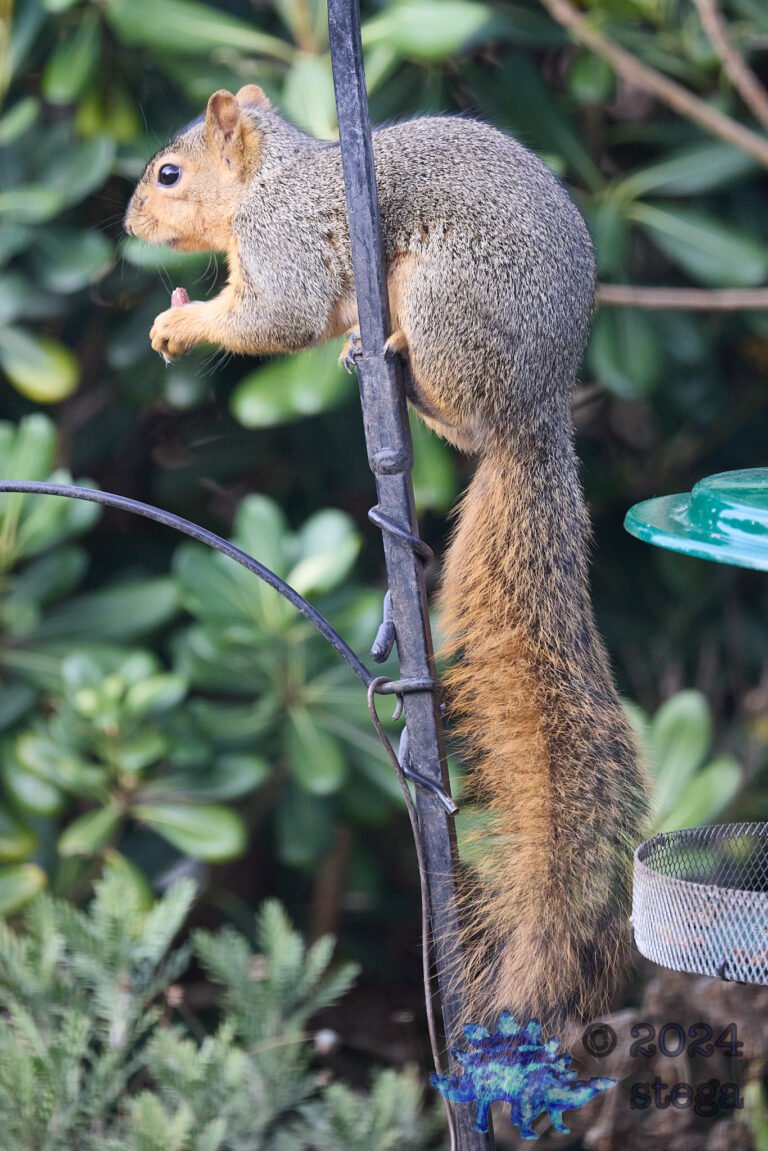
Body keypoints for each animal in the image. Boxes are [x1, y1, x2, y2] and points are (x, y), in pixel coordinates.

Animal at [124, 85, 650, 1030]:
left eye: (170, 174)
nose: (130, 219)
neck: (271, 176)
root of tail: (539, 406)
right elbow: (307, 318)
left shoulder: (287, 241)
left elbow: (279, 314)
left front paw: (181, 320)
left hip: (446, 298)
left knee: (469, 419)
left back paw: (402, 366)